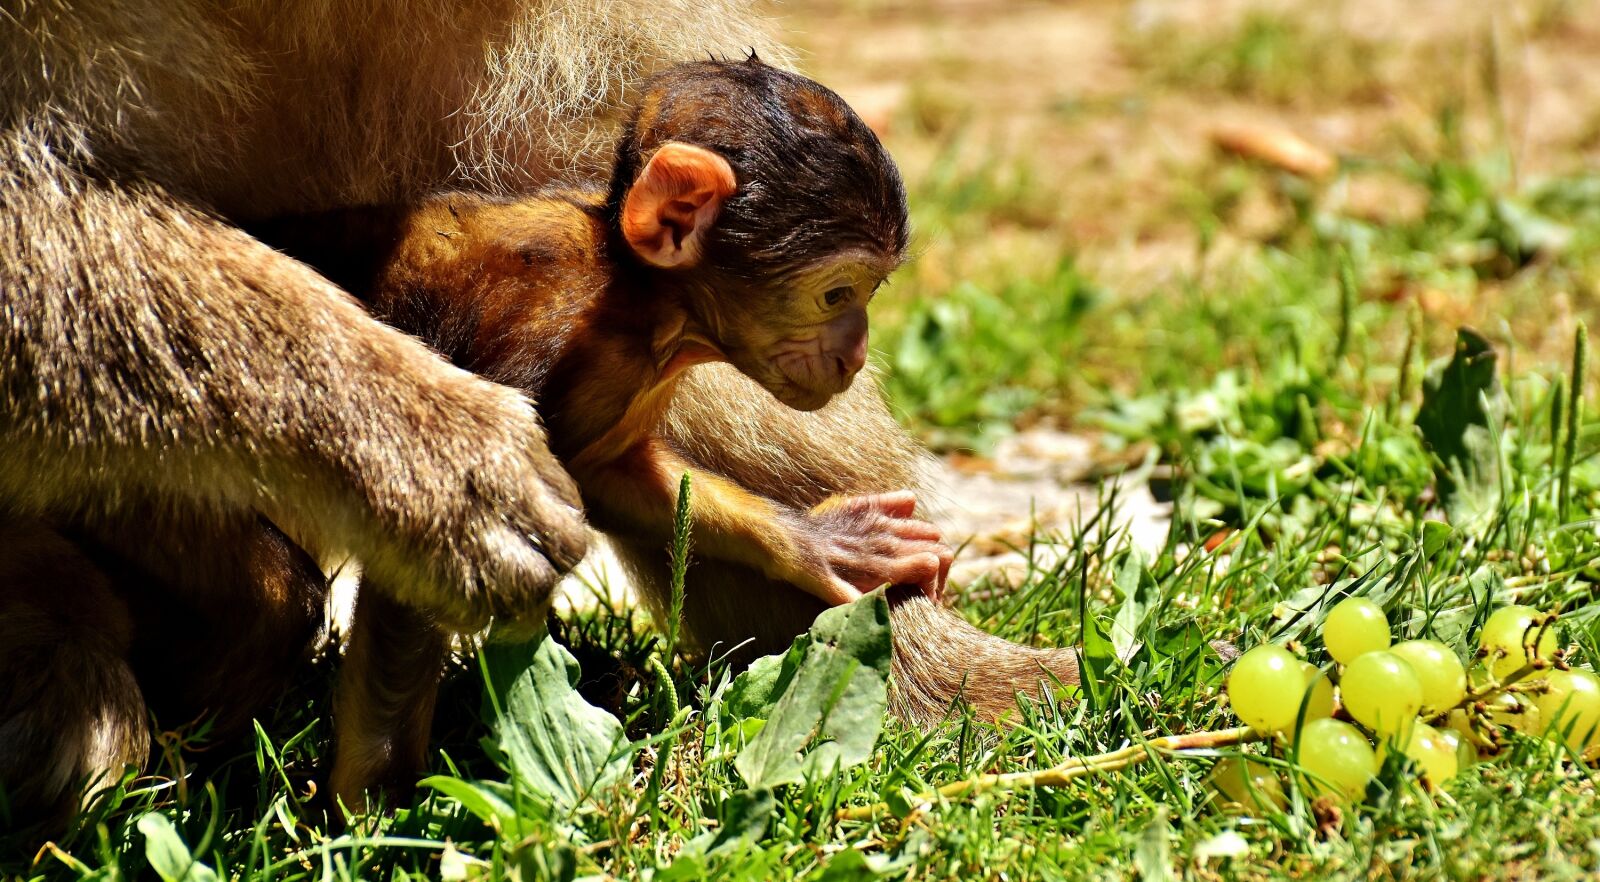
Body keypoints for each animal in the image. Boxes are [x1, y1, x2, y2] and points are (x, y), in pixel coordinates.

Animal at [253, 58, 1082, 812]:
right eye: (837, 293)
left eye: (870, 292)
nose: (854, 352)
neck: (633, 296)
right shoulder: (535, 334)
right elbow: (442, 539)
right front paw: (375, 809)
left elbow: (600, 476)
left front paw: (824, 544)